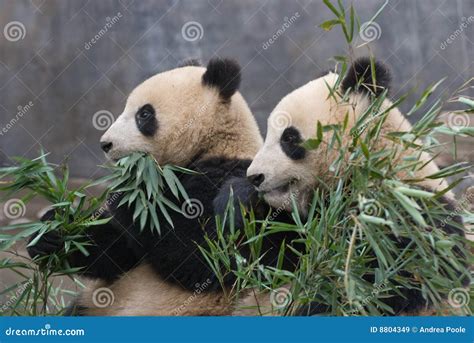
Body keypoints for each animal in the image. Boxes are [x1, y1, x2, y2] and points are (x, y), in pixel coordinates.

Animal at [26, 57, 296, 318]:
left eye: (144, 114)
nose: (106, 144)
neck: (216, 143)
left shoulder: (227, 176)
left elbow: (203, 253)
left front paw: (132, 188)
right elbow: (117, 250)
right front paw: (51, 232)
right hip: (93, 305)